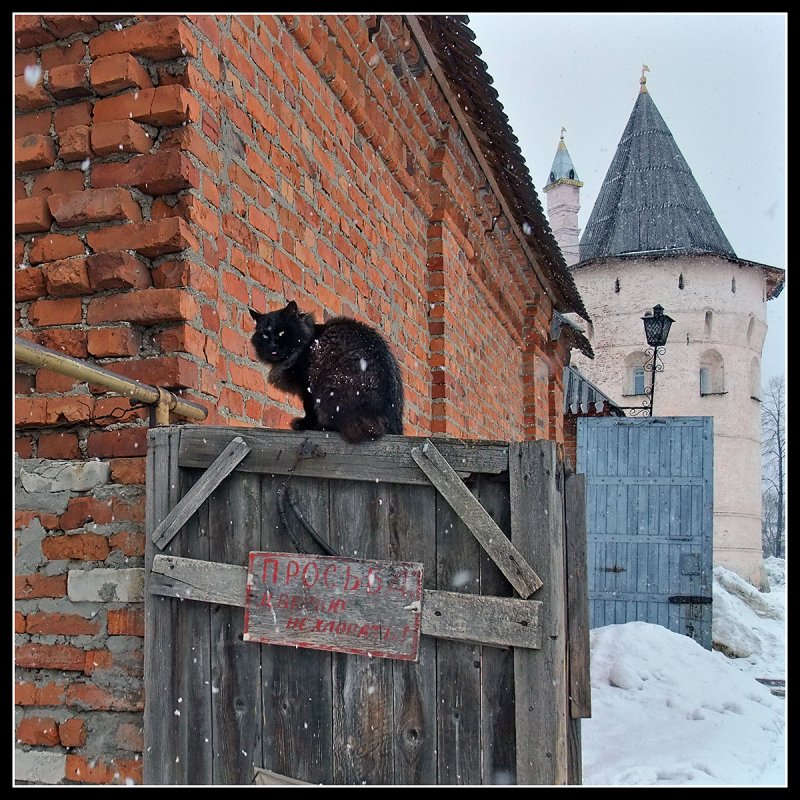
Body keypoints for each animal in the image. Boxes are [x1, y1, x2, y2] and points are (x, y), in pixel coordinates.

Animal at [248, 304, 404, 446]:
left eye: (282, 333)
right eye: (265, 335)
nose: (272, 346)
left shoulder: (307, 387)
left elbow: (310, 410)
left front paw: (305, 424)